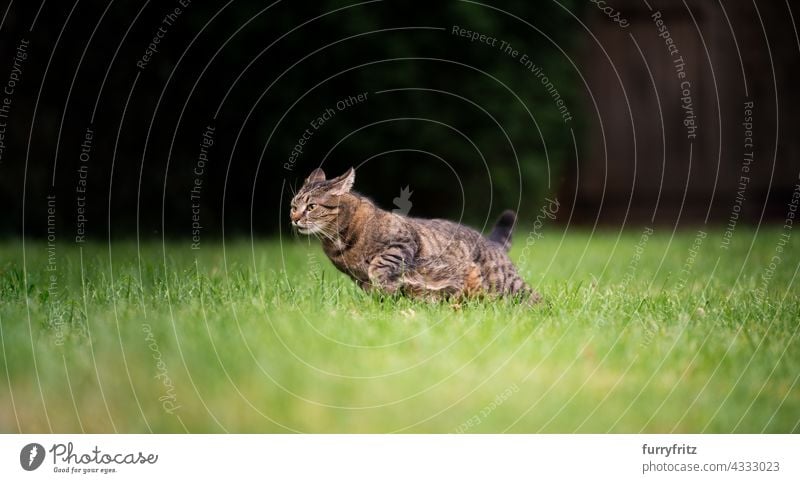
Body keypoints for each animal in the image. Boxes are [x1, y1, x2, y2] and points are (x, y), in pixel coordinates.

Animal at [290, 166, 540, 302]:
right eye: (293, 206)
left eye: (311, 207)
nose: (294, 218)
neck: (338, 241)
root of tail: (491, 242)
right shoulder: (358, 279)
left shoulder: (404, 241)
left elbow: (379, 266)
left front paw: (388, 286)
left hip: (505, 283)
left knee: (534, 297)